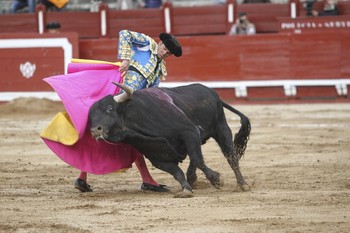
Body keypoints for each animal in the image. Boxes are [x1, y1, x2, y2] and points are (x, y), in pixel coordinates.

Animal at [89, 83, 250, 197]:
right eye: (90, 117)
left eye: (110, 108)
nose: (95, 130)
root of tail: (212, 93)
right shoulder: (157, 157)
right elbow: (177, 172)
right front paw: (186, 188)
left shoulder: (189, 132)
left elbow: (197, 159)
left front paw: (216, 179)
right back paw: (192, 178)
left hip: (221, 129)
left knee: (231, 157)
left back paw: (243, 184)